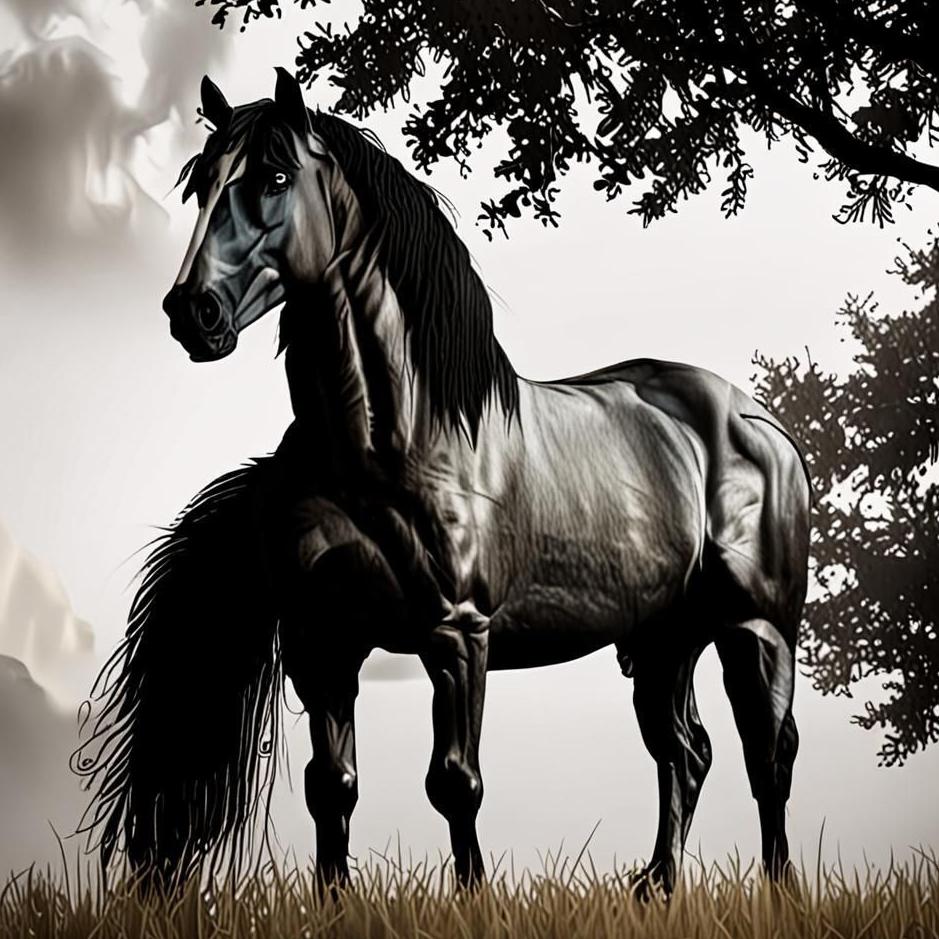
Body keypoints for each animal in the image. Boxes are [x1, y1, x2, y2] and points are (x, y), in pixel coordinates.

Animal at [73, 69, 811, 897]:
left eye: (272, 177)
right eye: (200, 182)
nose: (191, 312)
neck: (387, 445)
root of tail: (758, 420)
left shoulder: (456, 636)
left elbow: (455, 781)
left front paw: (472, 895)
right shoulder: (321, 644)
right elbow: (331, 786)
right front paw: (333, 901)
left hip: (755, 630)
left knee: (766, 756)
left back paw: (777, 889)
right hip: (661, 637)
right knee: (684, 753)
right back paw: (656, 884)